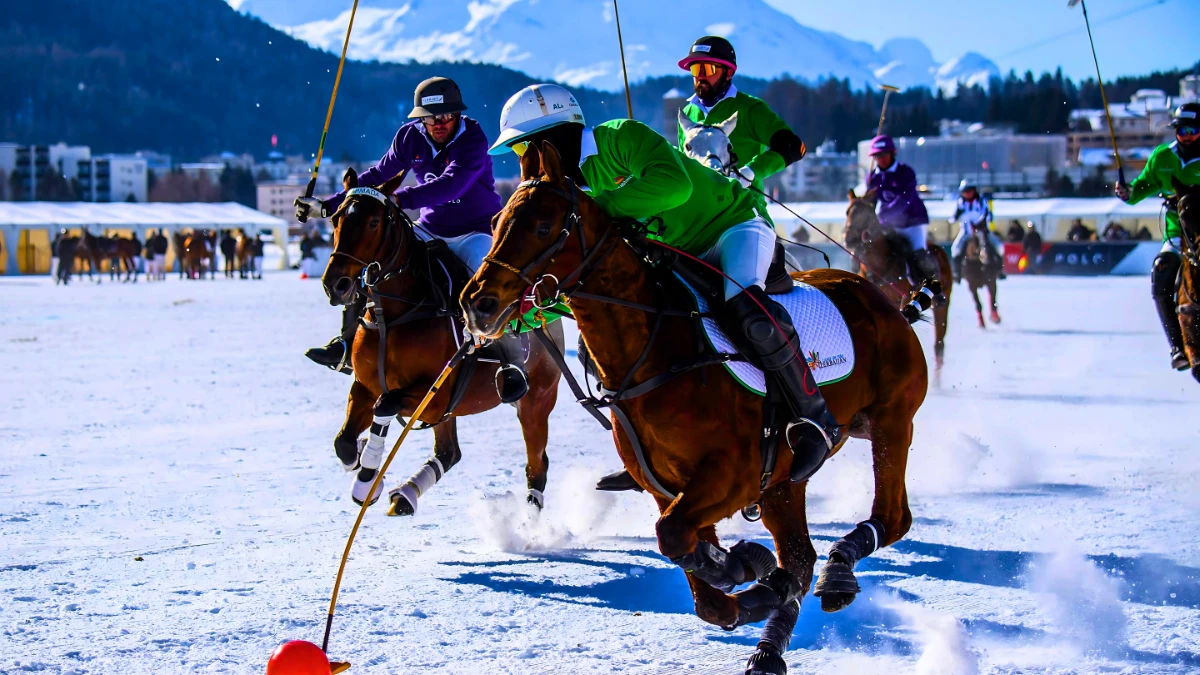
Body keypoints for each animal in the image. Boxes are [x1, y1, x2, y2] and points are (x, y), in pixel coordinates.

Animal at [319, 166, 561, 509]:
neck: (395, 313)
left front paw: (366, 482)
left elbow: (385, 405)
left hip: (536, 401)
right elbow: (344, 442)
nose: (335, 284)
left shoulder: (435, 396)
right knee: (449, 452)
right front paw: (363, 463)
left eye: (373, 222)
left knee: (537, 465)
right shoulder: (366, 385)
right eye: (336, 218)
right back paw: (405, 496)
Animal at [458, 144, 926, 667]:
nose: (476, 303)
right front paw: (751, 573)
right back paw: (771, 643)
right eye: (496, 221)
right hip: (785, 481)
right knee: (800, 558)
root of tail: (877, 294)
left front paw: (745, 566)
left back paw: (838, 569)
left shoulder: (732, 475)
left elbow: (674, 537)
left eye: (542, 226)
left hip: (890, 421)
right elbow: (705, 595)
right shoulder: (668, 487)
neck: (657, 352)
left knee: (891, 517)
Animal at [840, 187, 950, 367]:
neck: (879, 266)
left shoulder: (902, 299)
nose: (848, 239)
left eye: (867, 214)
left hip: (942, 303)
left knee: (939, 344)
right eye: (847, 211)